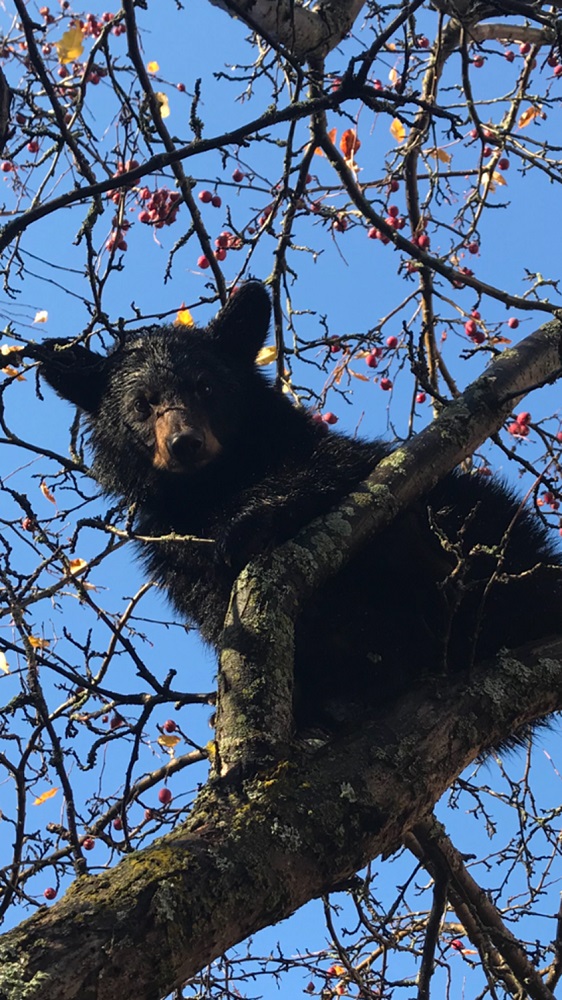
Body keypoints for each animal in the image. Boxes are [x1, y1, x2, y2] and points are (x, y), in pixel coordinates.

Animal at [30, 282, 560, 736]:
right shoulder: (169, 543)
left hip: (482, 519)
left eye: (205, 386)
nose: (185, 443)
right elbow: (206, 593)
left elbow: (328, 469)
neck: (215, 483)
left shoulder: (327, 454)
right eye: (142, 403)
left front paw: (247, 520)